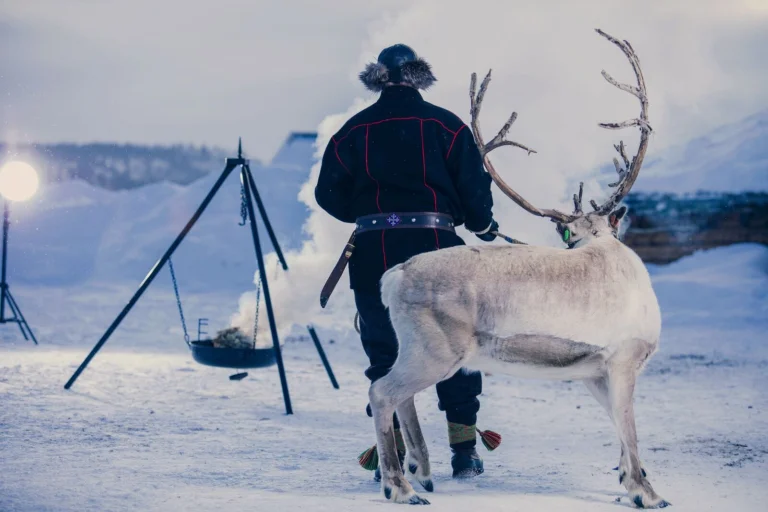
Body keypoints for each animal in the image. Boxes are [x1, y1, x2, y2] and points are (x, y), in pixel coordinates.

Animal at [367, 29, 670, 509]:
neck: (599, 241)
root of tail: (395, 275)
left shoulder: (594, 372)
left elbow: (620, 432)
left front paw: (627, 480)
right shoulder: (624, 360)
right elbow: (631, 430)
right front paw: (647, 492)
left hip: (416, 349)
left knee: (399, 395)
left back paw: (422, 470)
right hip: (435, 351)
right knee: (382, 391)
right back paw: (400, 486)